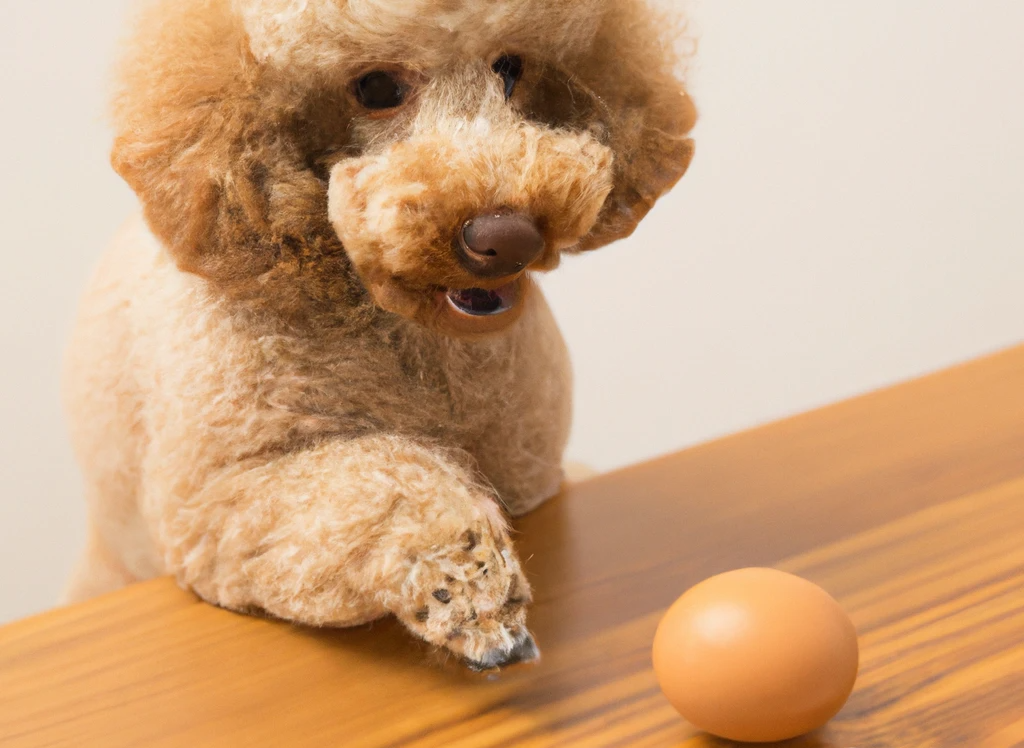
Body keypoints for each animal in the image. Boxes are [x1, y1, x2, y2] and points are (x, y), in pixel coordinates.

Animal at [64, 0, 696, 668]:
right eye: (376, 88)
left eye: (510, 69)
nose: (509, 237)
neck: (424, 355)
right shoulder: (209, 509)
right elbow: (375, 486)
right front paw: (471, 593)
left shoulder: (534, 479)